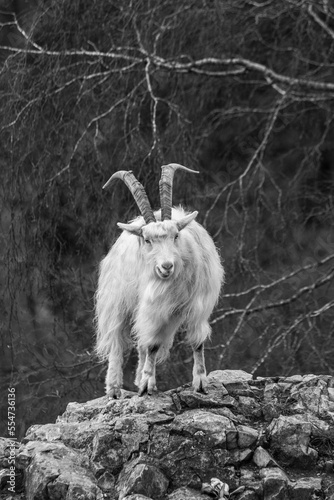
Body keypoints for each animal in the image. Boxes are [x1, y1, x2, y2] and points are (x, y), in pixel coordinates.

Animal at [94, 164, 224, 398]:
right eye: (147, 240)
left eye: (176, 236)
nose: (166, 266)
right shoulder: (154, 308)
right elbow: (152, 344)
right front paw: (147, 384)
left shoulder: (198, 305)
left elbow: (197, 341)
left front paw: (200, 382)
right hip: (117, 300)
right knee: (117, 341)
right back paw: (115, 388)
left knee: (141, 343)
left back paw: (137, 379)